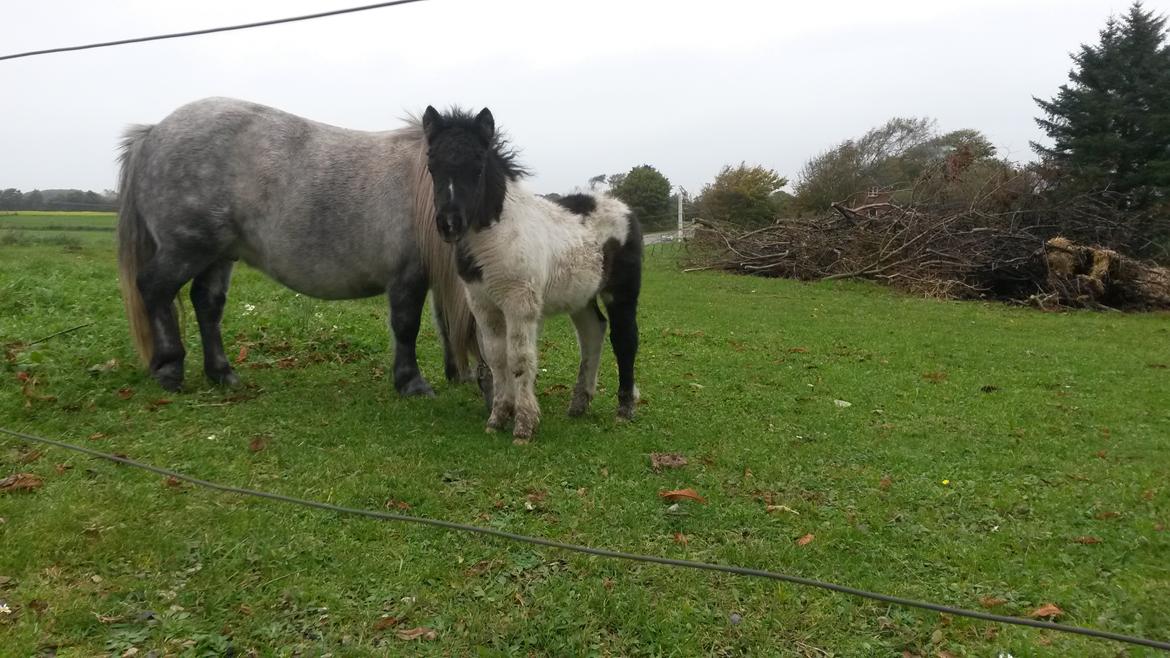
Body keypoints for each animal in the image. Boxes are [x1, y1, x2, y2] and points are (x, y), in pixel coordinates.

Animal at [110, 97, 475, 393]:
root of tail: (152, 133)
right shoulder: (408, 275)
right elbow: (407, 326)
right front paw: (412, 382)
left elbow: (442, 323)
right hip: (187, 248)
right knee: (155, 288)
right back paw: (169, 369)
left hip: (218, 254)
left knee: (207, 303)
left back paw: (222, 373)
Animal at [421, 104, 645, 440]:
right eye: (431, 164)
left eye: (478, 164)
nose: (450, 223)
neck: (496, 234)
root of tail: (625, 208)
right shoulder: (483, 306)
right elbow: (497, 359)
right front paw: (498, 418)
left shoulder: (519, 303)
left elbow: (519, 358)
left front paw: (524, 425)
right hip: (580, 297)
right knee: (593, 331)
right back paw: (579, 404)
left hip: (621, 292)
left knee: (624, 338)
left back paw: (625, 409)